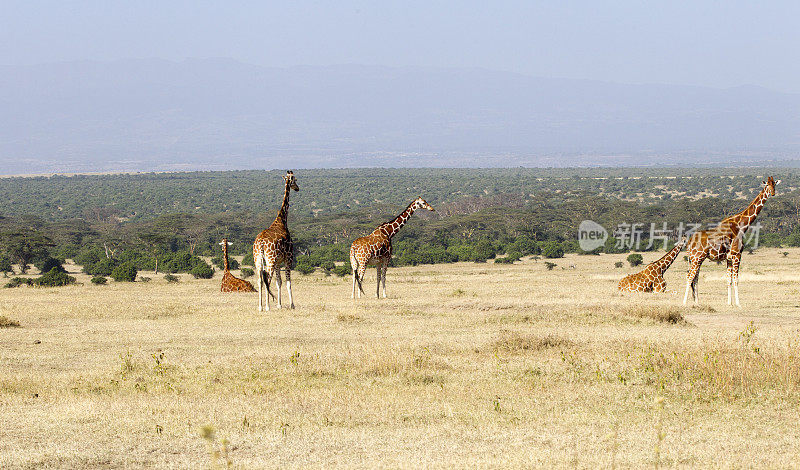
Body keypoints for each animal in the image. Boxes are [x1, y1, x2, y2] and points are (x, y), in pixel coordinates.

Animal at [253, 171, 300, 310]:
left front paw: (279, 304)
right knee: (267, 279)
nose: (297, 188)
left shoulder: (279, 262)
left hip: (258, 260)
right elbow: (288, 282)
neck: (282, 220)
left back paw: (260, 307)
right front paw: (291, 304)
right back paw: (267, 307)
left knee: (260, 280)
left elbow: (279, 282)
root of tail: (260, 243)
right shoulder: (289, 257)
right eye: (295, 180)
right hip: (270, 259)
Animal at [680, 175, 780, 304]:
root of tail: (689, 243)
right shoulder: (737, 254)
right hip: (697, 258)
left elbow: (729, 280)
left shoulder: (729, 258)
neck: (740, 225)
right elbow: (736, 279)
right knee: (689, 277)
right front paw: (738, 304)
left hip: (695, 259)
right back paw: (684, 303)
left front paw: (729, 303)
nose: (772, 193)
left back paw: (697, 302)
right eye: (767, 185)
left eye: (774, 184)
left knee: (695, 278)